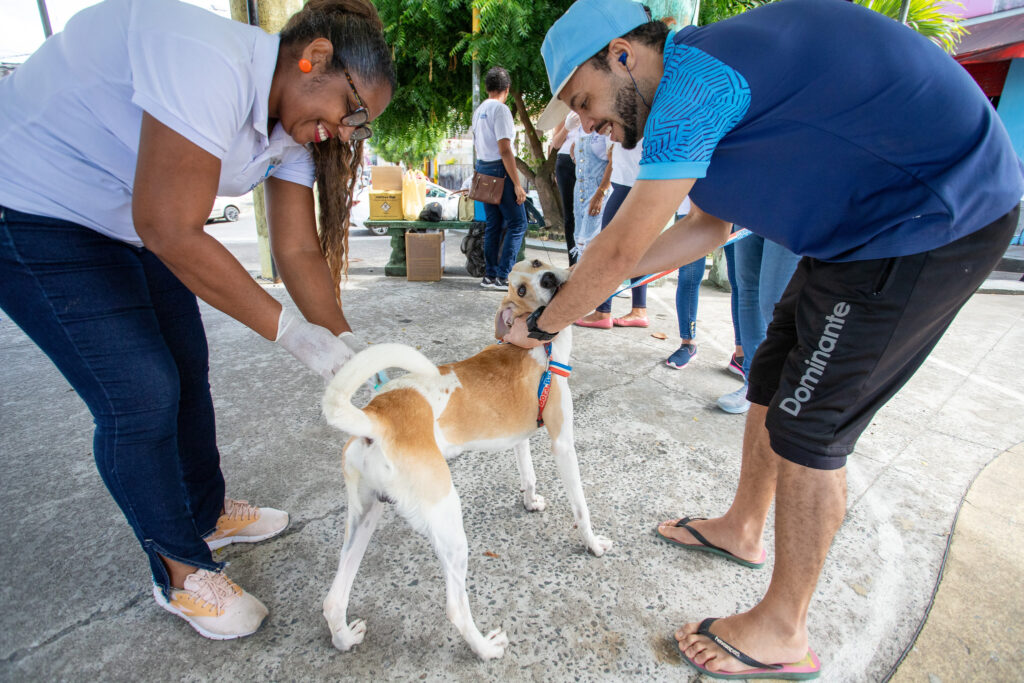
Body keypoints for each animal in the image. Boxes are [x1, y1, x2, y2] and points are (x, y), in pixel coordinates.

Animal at [321, 259, 606, 659]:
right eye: (521, 289)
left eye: (536, 264)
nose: (550, 278)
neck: (540, 347)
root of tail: (375, 417)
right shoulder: (563, 444)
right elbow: (581, 507)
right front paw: (592, 544)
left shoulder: (520, 439)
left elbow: (528, 476)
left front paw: (530, 502)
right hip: (448, 524)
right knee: (455, 607)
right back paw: (485, 648)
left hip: (366, 513)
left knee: (333, 599)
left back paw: (345, 637)